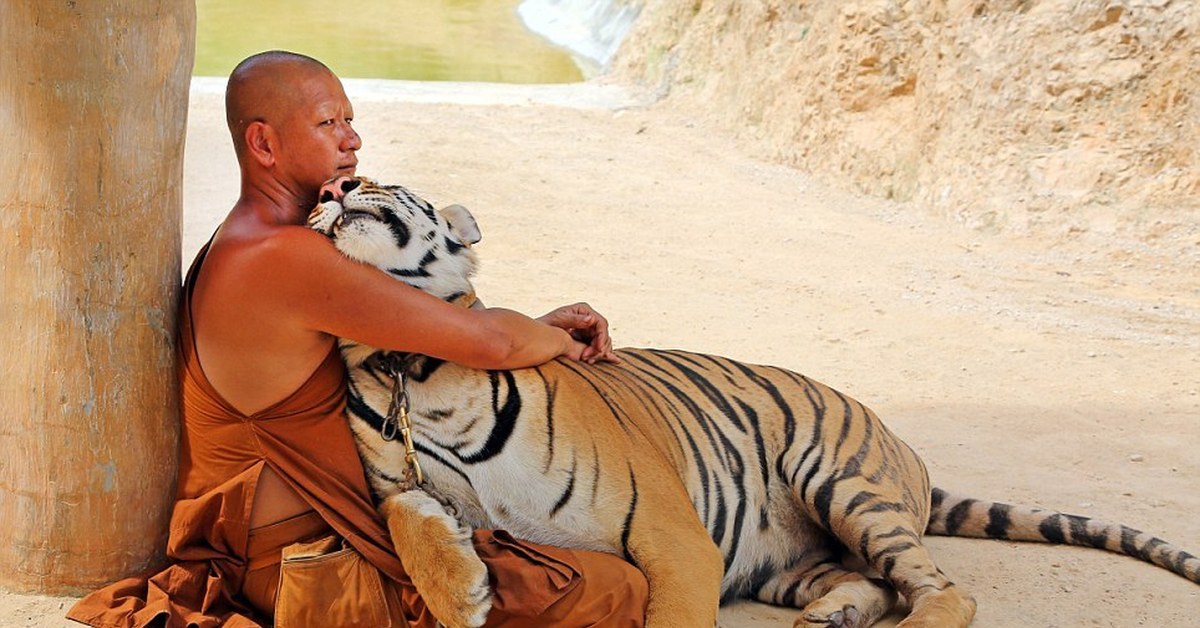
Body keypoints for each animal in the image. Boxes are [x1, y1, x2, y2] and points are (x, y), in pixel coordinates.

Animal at [304, 176, 1195, 628]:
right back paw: (830, 619)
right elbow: (406, 519)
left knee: (944, 592)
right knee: (874, 584)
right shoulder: (397, 482)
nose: (339, 183)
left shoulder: (672, 537)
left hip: (841, 482)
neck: (409, 364)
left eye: (381, 179)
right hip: (786, 564)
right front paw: (461, 592)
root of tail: (905, 449)